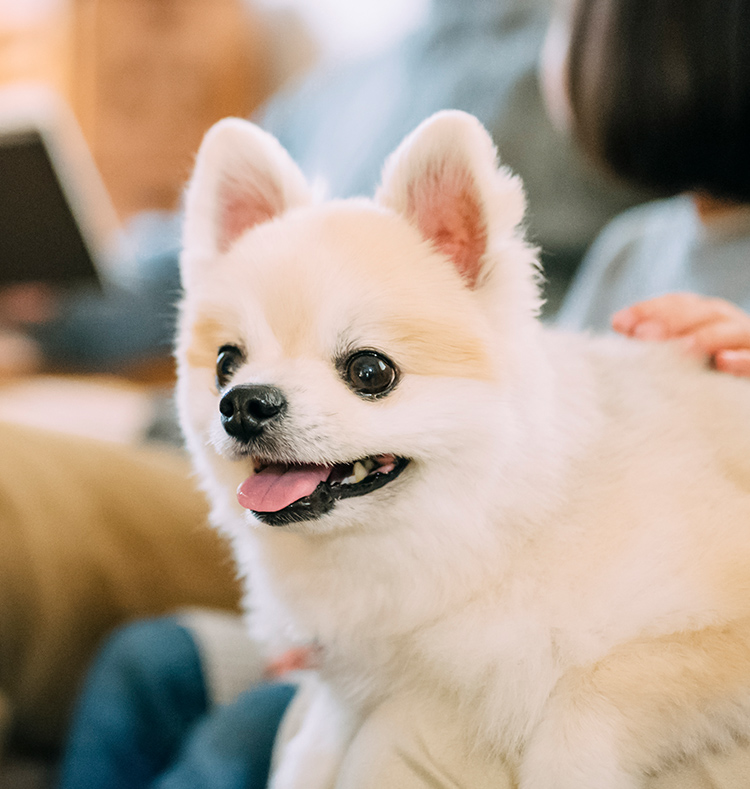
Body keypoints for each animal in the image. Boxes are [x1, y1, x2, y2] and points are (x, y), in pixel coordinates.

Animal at [173, 111, 750, 788]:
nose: (242, 404)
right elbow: (318, 741)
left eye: (370, 371)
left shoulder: (715, 633)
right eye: (225, 363)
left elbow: (591, 692)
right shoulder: (353, 678)